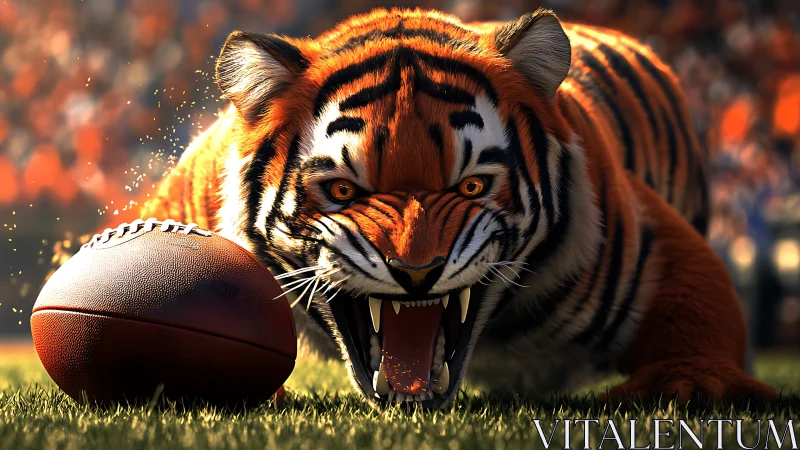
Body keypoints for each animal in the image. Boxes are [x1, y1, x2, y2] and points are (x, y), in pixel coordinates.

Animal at [138, 8, 777, 408]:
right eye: (343, 191)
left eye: (471, 187)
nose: (417, 273)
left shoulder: (650, 243)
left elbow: (698, 304)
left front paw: (693, 386)